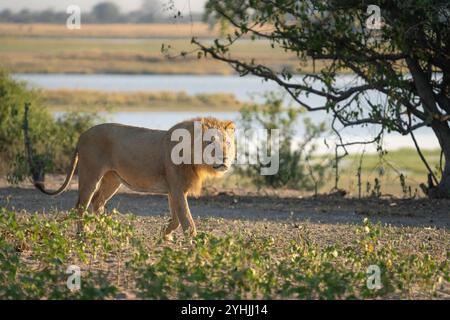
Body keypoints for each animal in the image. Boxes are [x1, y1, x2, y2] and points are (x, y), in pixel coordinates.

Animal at [35, 117, 236, 238]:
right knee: (81, 206)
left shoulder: (173, 190)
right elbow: (187, 220)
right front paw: (196, 244)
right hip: (90, 174)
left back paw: (106, 230)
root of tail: (82, 134)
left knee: (97, 203)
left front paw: (165, 235)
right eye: (210, 143)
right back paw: (83, 234)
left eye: (227, 143)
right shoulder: (177, 189)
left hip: (112, 179)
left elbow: (177, 218)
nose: (224, 159)